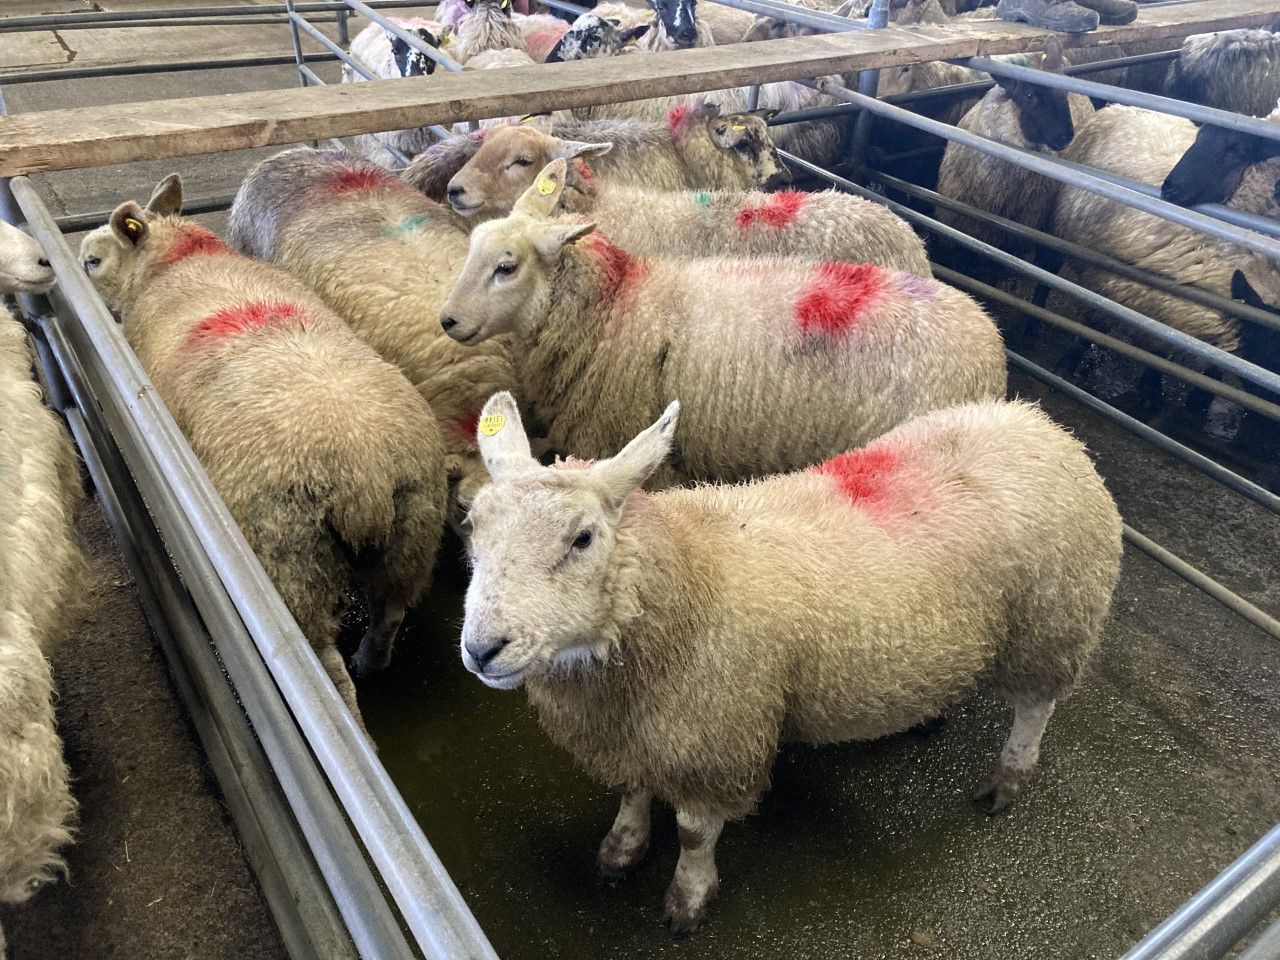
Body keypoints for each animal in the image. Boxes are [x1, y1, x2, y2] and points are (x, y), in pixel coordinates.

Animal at [81, 176, 448, 718]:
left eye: (92, 260)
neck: (176, 263)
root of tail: (365, 479)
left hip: (290, 558)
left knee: (329, 672)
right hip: (413, 534)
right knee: (390, 614)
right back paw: (370, 660)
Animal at [459, 391, 1123, 934]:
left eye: (583, 538)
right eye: (472, 526)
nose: (480, 650)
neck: (692, 574)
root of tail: (1040, 424)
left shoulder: (714, 738)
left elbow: (695, 834)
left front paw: (687, 900)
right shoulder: (634, 732)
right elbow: (631, 792)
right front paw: (621, 849)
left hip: (1050, 623)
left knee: (1035, 706)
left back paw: (1009, 778)